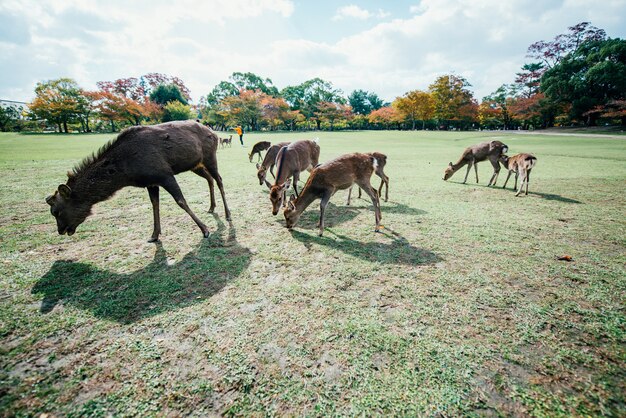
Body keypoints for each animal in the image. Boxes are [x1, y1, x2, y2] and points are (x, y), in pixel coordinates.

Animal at [45, 120, 229, 242]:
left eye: (56, 211)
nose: (61, 230)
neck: (127, 172)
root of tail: (214, 133)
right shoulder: (151, 182)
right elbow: (155, 204)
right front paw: (154, 235)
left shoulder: (164, 174)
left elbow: (181, 201)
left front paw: (205, 230)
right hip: (195, 165)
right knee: (210, 179)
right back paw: (212, 207)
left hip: (210, 156)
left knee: (219, 179)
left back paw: (227, 214)